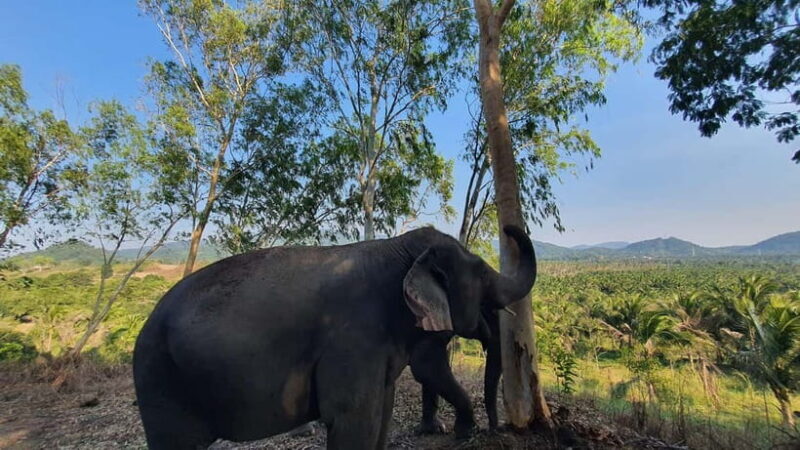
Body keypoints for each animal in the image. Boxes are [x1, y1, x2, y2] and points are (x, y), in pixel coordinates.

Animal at [133, 225, 536, 449]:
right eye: (482, 274)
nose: (495, 429)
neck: (399, 247)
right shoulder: (352, 338)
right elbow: (353, 417)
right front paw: (463, 432)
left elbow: (383, 412)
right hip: (160, 382)